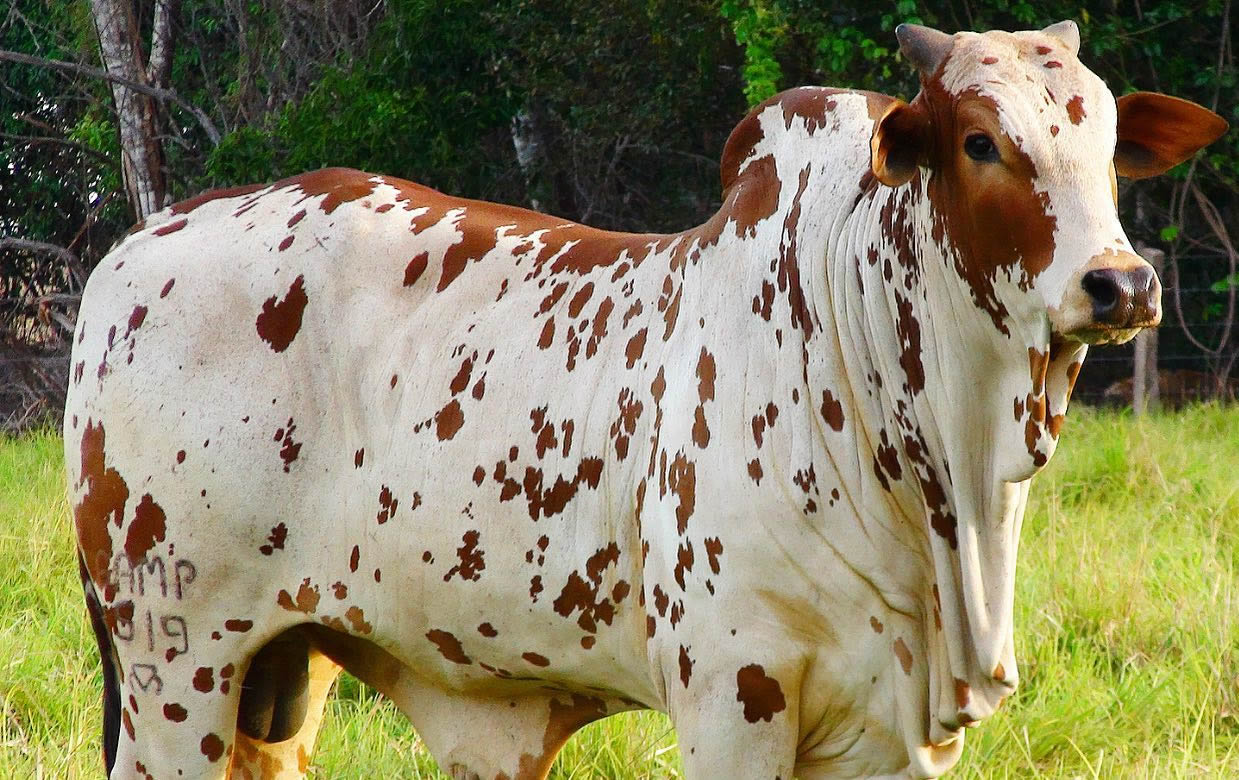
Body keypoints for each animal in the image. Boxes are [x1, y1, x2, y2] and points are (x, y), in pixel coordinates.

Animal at [65, 21, 1219, 777]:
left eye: (1107, 146)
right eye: (981, 141)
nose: (1121, 284)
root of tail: (131, 251)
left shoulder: (887, 737)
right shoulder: (733, 696)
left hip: (278, 676)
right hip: (175, 665)